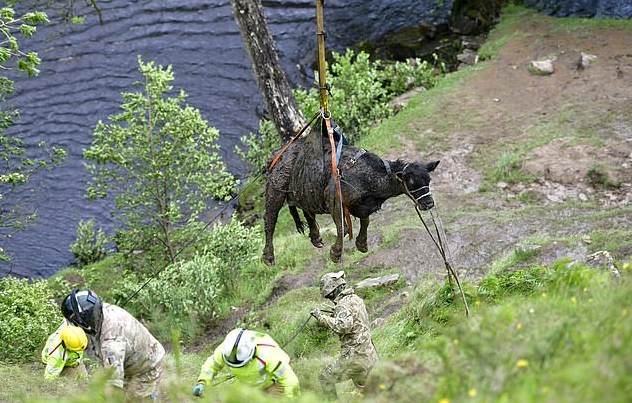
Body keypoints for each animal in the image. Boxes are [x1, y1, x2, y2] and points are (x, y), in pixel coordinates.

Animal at [262, 137, 440, 266]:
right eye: (412, 183)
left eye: (428, 180)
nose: (429, 204)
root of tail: (277, 153)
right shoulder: (334, 200)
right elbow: (343, 228)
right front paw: (335, 253)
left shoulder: (361, 205)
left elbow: (365, 221)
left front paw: (362, 244)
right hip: (276, 191)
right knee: (270, 220)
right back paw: (268, 256)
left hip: (303, 191)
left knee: (307, 211)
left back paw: (315, 237)